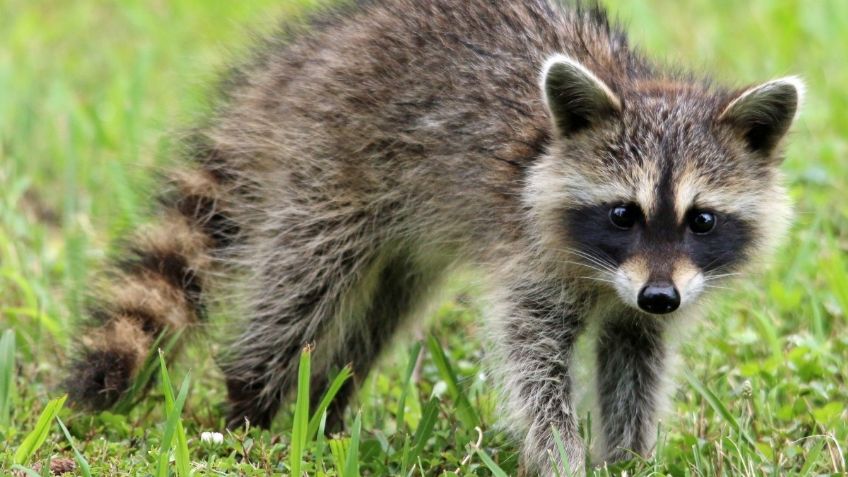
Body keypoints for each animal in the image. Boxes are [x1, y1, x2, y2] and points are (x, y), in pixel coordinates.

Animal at [66, 0, 800, 472]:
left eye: (702, 220)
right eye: (624, 213)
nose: (659, 297)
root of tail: (303, 58)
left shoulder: (650, 292)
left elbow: (635, 358)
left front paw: (629, 457)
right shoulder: (532, 256)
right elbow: (532, 359)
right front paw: (560, 455)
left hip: (403, 232)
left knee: (381, 310)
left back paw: (327, 403)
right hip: (331, 163)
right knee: (301, 284)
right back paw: (252, 400)